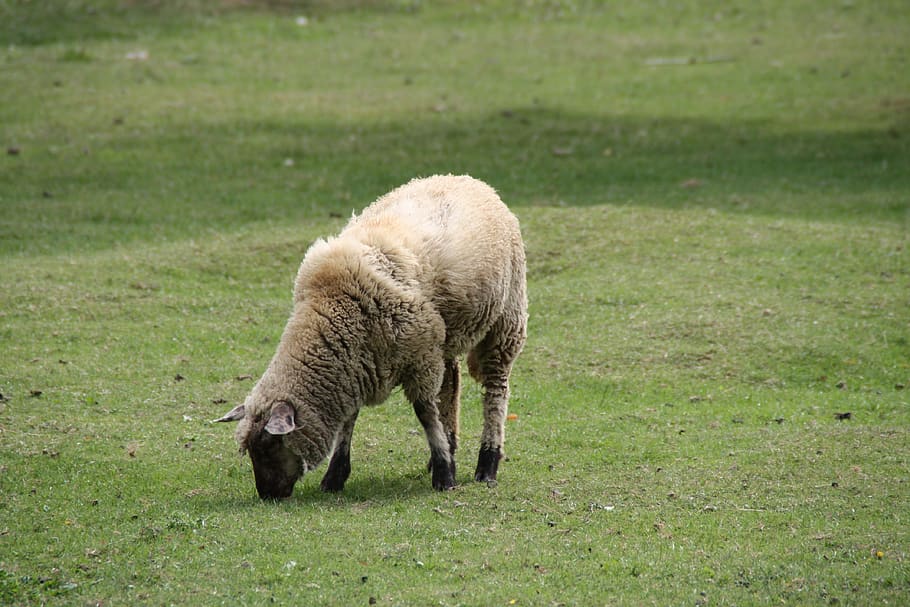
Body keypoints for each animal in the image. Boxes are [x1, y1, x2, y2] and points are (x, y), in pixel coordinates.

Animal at [214, 175, 527, 499]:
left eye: (270, 444)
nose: (267, 494)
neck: (334, 308)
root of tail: (468, 180)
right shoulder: (358, 362)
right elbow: (350, 419)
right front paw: (335, 476)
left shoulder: (420, 358)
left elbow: (425, 414)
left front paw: (444, 474)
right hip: (448, 334)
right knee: (451, 385)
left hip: (506, 318)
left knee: (495, 390)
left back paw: (488, 463)